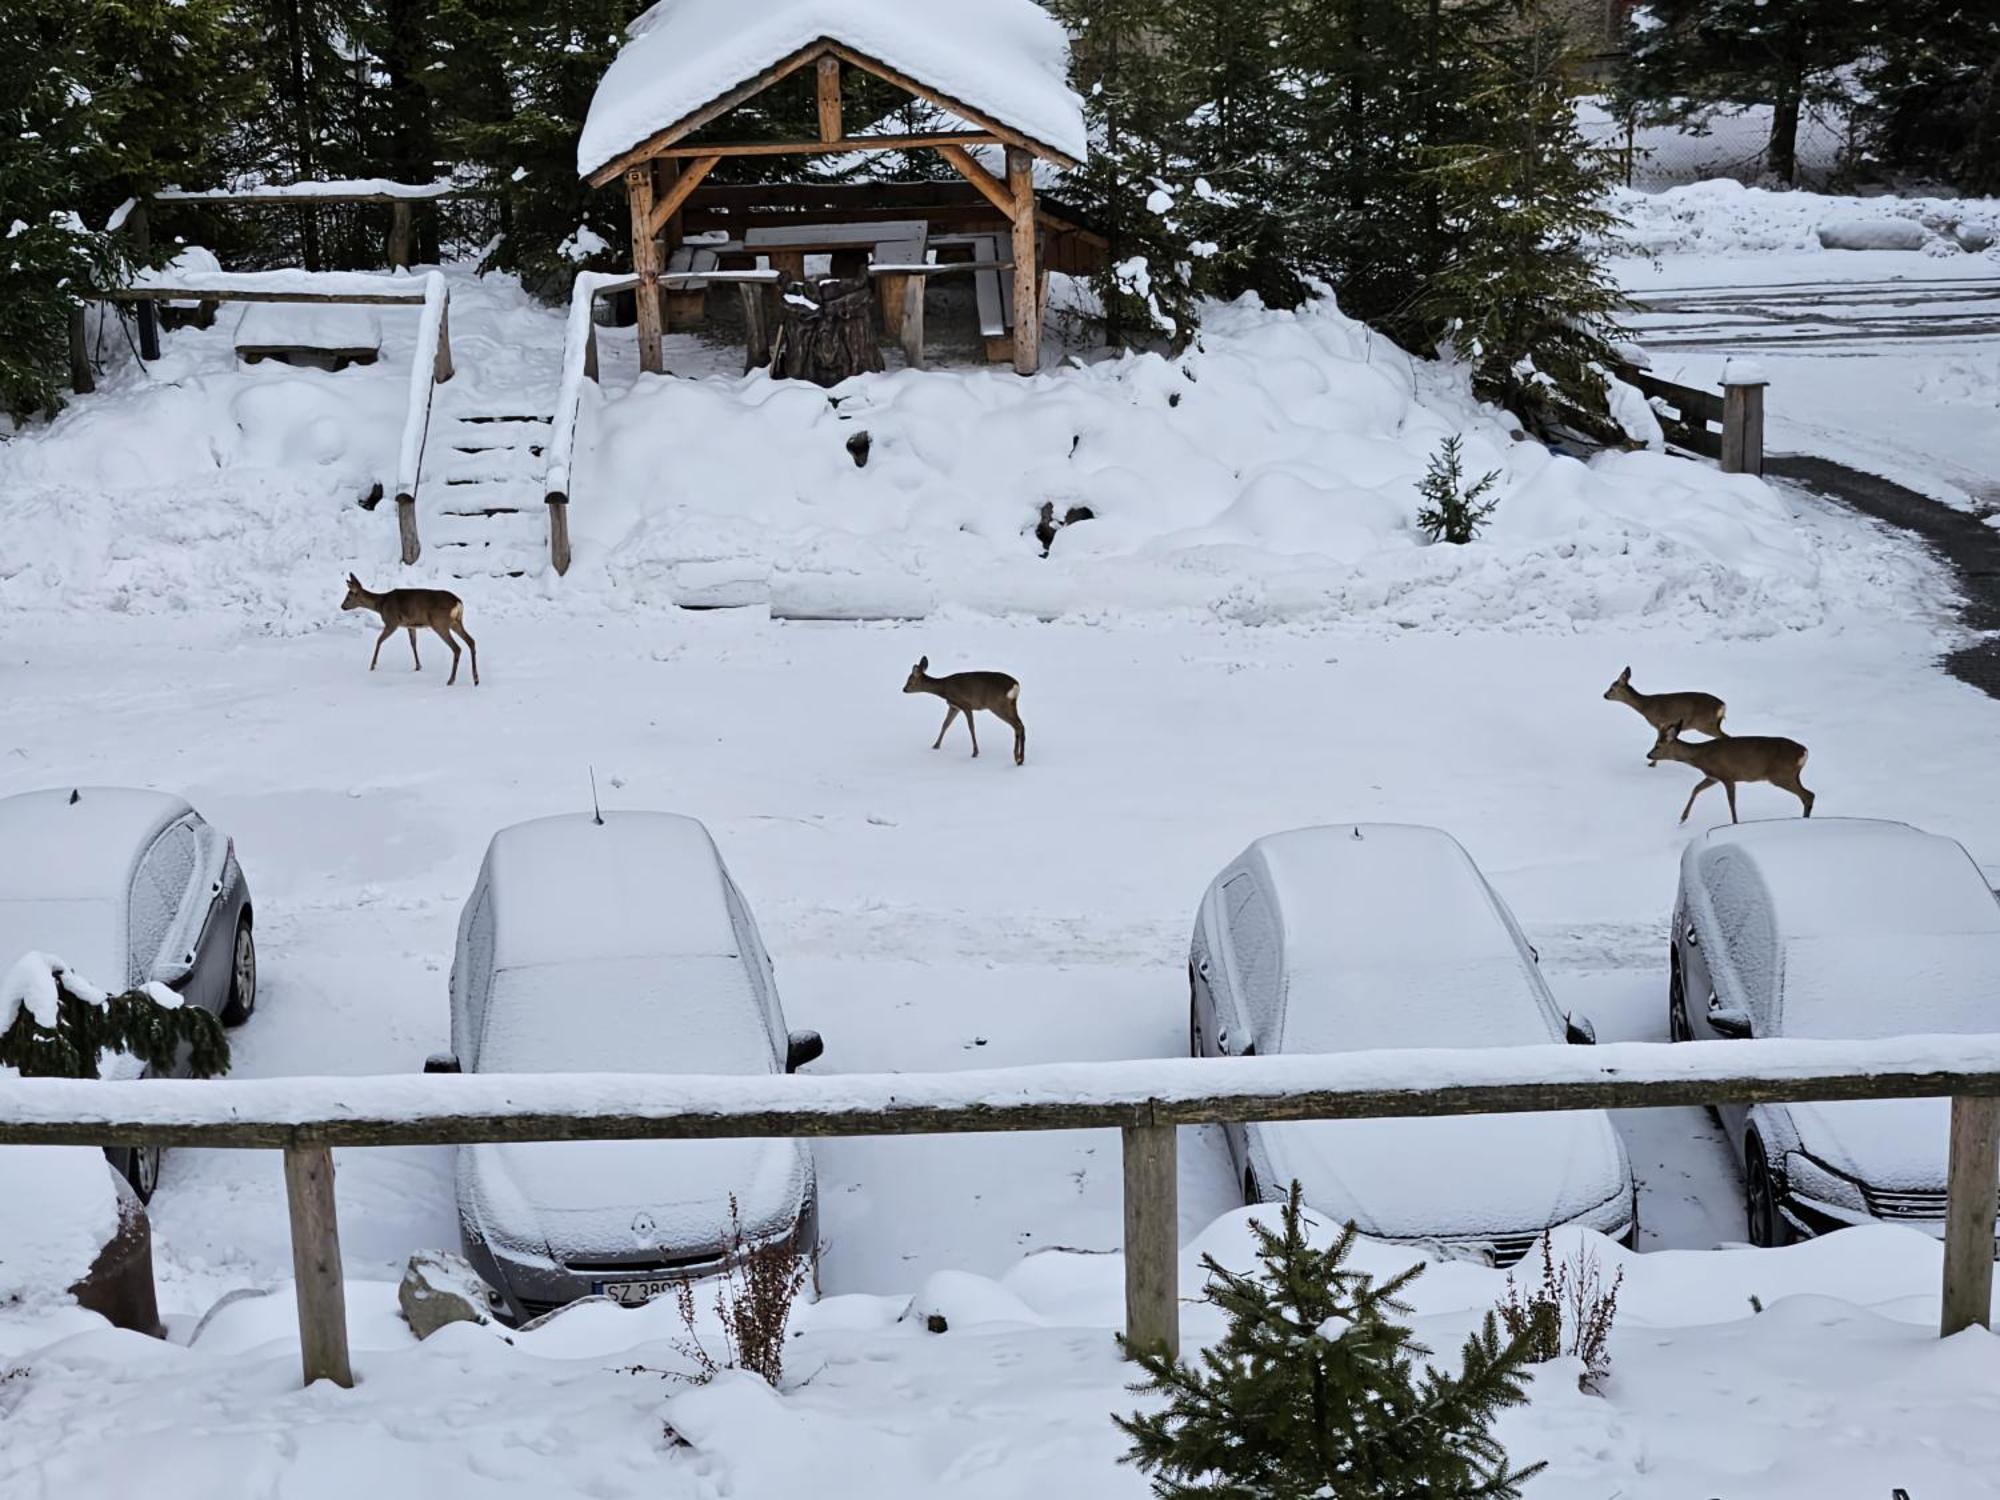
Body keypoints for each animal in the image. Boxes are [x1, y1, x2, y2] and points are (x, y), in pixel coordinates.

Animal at [344, 580, 480, 692]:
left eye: (348, 596)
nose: (342, 606)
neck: (381, 604)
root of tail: (458, 603)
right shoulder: (411, 625)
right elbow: (413, 644)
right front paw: (418, 666)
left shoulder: (392, 621)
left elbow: (379, 640)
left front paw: (373, 666)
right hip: (456, 622)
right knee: (471, 641)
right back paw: (476, 679)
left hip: (440, 623)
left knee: (457, 648)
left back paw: (451, 680)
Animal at [1600, 668, 1728, 764]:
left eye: (1612, 688)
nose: (1604, 695)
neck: (1645, 706)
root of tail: (1722, 706)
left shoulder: (1661, 723)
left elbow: (1660, 740)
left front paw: (1652, 763)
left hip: (1705, 724)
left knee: (1724, 736)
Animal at [1656, 724, 1816, 828]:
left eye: (1657, 745)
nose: (1650, 754)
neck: (1701, 757)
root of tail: (1804, 752)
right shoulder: (1713, 777)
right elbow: (1696, 789)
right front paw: (1682, 818)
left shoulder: (1727, 775)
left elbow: (1731, 801)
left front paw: (1735, 823)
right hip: (1792, 775)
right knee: (1807, 795)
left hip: (1781, 775)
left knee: (1808, 795)